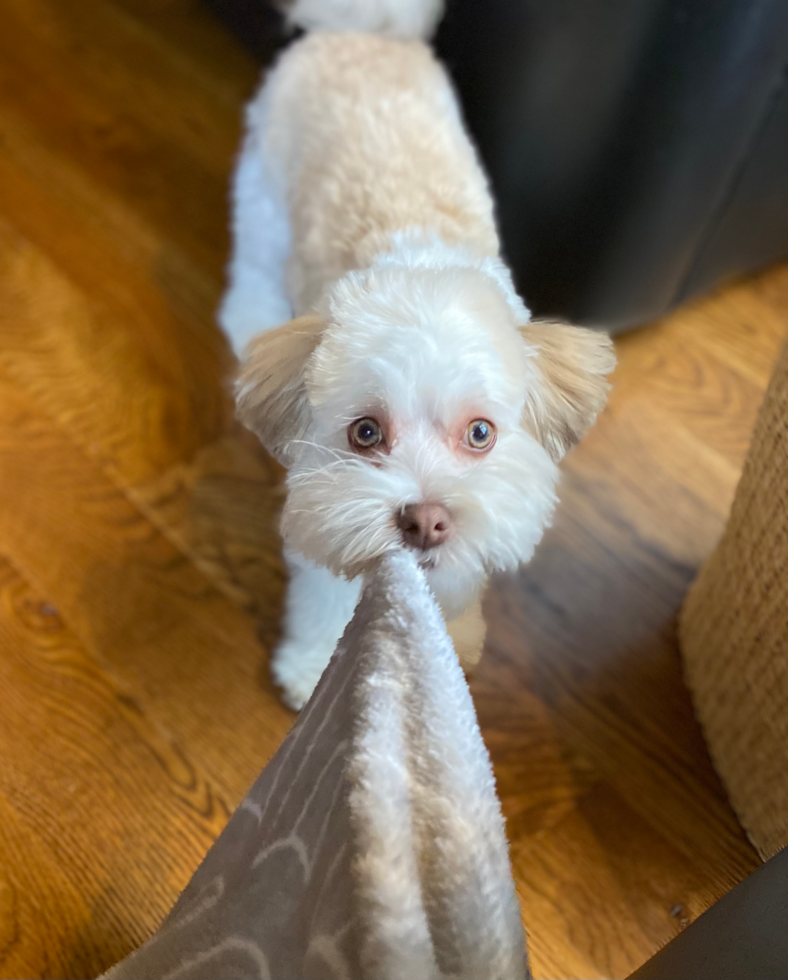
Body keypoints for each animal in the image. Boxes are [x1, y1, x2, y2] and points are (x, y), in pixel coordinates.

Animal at [222, 0, 616, 708]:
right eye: (366, 433)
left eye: (481, 433)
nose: (427, 521)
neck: (419, 263)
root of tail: (364, 30)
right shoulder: (332, 506)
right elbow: (332, 591)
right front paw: (315, 666)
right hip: (263, 189)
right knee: (254, 266)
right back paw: (249, 318)